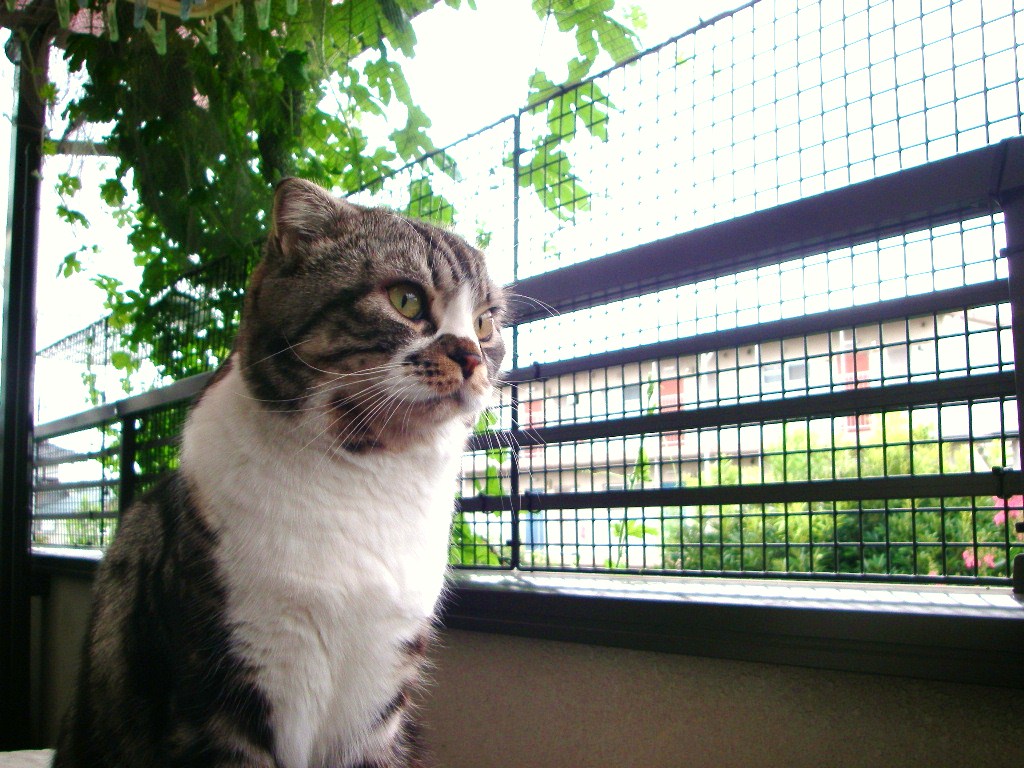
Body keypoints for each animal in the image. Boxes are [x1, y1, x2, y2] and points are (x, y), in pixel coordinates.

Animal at [53, 177, 506, 768]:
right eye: (405, 299)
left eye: (484, 323)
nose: (471, 355)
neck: (367, 482)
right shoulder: (223, 691)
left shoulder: (378, 701)